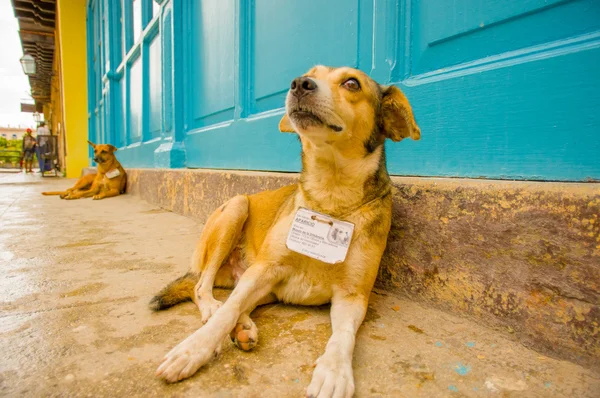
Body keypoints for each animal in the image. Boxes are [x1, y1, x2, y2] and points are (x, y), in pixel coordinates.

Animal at [150, 66, 422, 398]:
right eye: (311, 73)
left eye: (352, 83)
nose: (299, 84)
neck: (330, 198)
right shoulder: (265, 268)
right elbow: (227, 311)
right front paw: (193, 349)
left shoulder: (353, 296)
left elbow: (343, 336)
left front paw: (334, 371)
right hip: (238, 209)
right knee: (204, 288)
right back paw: (215, 309)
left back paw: (243, 327)